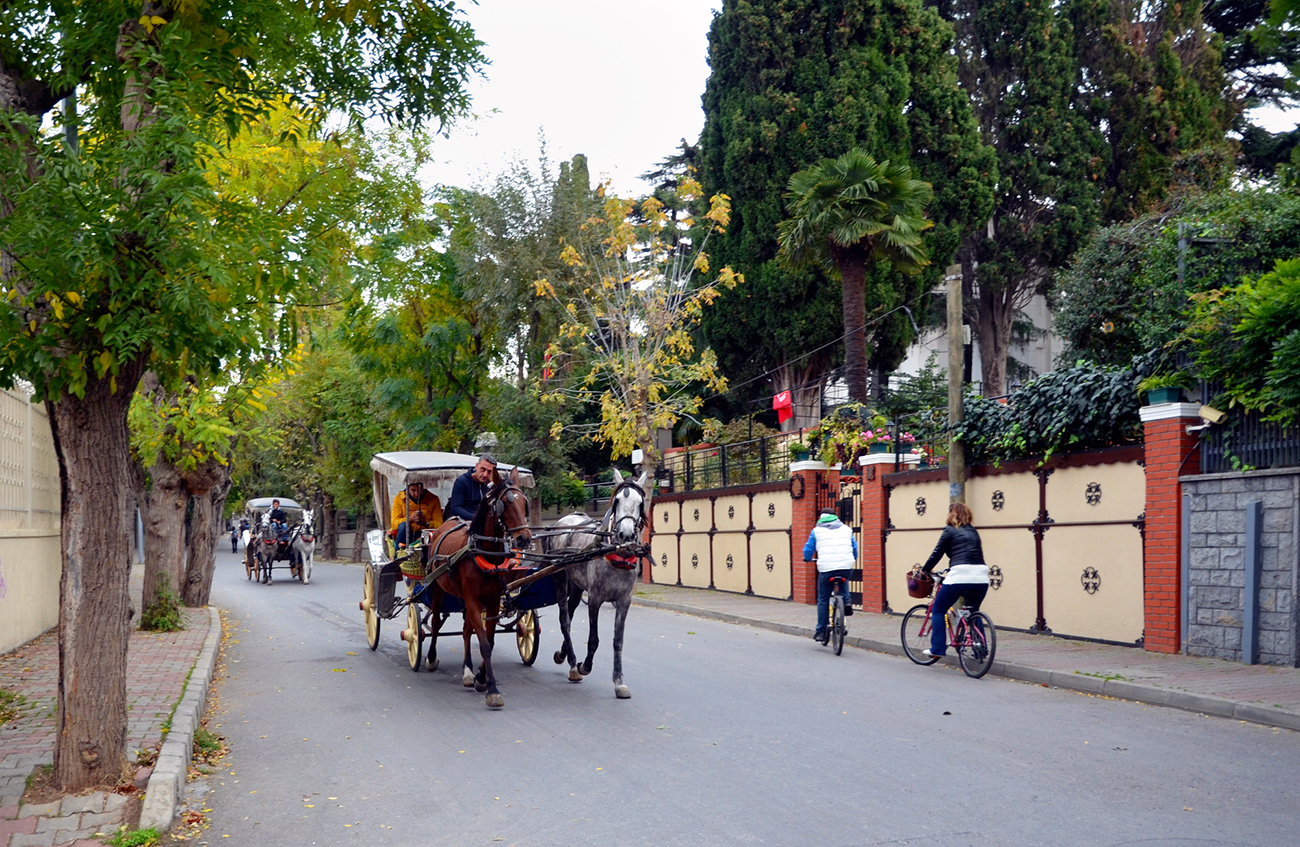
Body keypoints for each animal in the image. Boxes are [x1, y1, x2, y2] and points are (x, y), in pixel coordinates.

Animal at [423, 467, 530, 711]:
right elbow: (484, 644)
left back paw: (468, 671)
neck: (485, 552)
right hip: (438, 589)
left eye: (524, 503)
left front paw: (481, 678)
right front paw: (492, 690)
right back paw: (431, 658)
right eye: (505, 504)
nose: (524, 538)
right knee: (435, 623)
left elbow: (488, 639)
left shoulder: (491, 600)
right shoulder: (472, 600)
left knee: (465, 630)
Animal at [546, 467, 647, 696]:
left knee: (571, 611)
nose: (626, 534)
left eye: (640, 503)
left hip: (576, 586)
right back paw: (573, 664)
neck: (616, 553)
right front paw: (585, 666)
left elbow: (618, 641)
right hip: (559, 578)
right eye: (617, 500)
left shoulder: (624, 601)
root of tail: (562, 521)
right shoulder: (594, 599)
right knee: (565, 619)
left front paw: (619, 681)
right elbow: (593, 640)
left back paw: (564, 655)